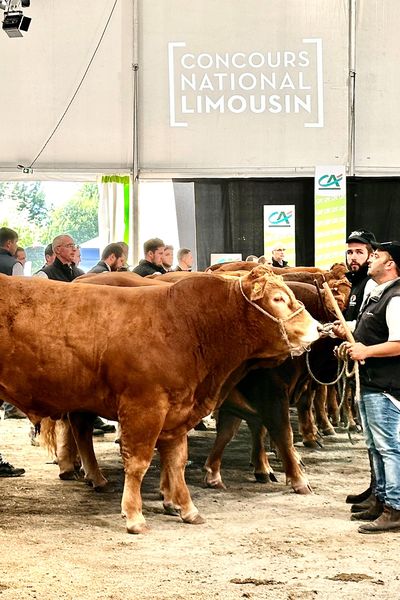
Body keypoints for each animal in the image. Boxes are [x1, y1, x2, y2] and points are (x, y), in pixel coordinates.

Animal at [0, 270, 318, 532]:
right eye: (278, 298)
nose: (318, 328)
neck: (188, 326)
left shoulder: (178, 411)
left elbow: (177, 462)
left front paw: (187, 509)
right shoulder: (145, 407)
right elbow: (138, 462)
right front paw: (134, 516)